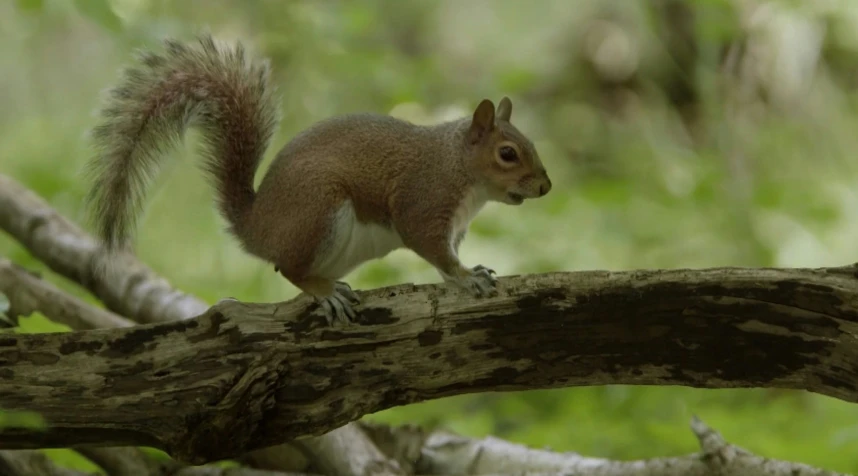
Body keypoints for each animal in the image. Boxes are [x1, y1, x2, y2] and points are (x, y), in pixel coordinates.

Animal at [83, 33, 552, 324]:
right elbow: (430, 246)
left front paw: (472, 271)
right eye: (507, 153)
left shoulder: (455, 226)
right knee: (289, 268)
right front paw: (467, 277)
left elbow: (446, 257)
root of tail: (256, 226)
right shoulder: (424, 200)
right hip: (319, 210)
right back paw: (324, 291)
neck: (459, 167)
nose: (545, 187)